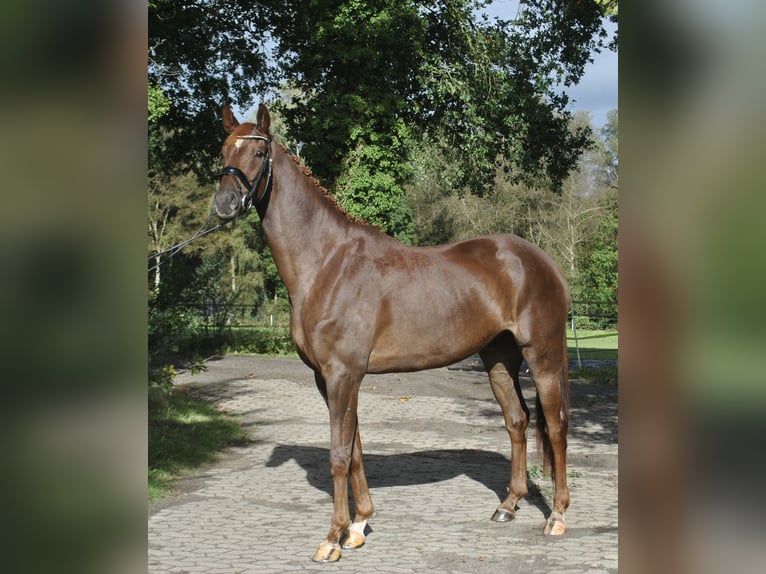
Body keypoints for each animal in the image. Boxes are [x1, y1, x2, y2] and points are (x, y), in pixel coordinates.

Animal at [213, 106, 572, 564]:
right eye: (224, 150)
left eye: (259, 152)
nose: (225, 204)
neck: (327, 262)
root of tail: (542, 260)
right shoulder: (330, 378)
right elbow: (355, 448)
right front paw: (359, 526)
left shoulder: (343, 374)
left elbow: (338, 454)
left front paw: (332, 539)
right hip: (499, 360)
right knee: (517, 421)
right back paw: (508, 505)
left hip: (542, 357)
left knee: (555, 427)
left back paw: (557, 516)